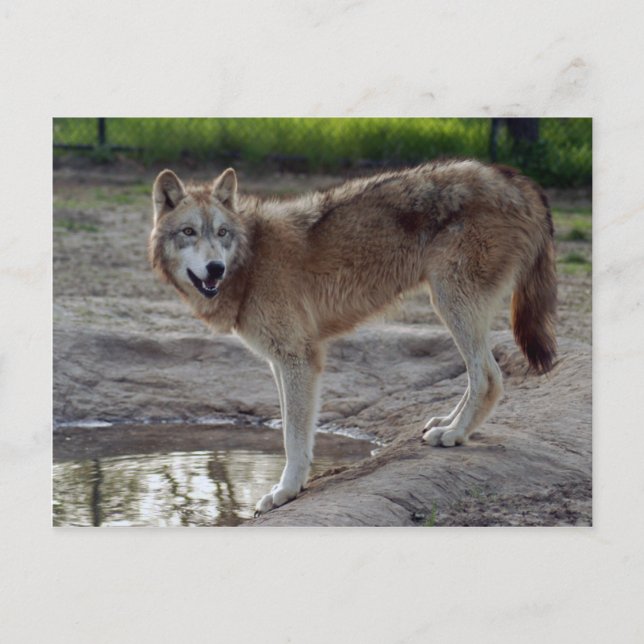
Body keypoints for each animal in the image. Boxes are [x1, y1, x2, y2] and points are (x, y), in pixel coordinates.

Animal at [149, 160, 557, 514]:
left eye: (222, 233)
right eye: (189, 232)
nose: (215, 268)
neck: (251, 260)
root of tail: (512, 179)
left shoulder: (299, 358)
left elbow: (293, 436)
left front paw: (285, 491)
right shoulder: (281, 361)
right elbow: (292, 428)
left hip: (450, 303)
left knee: (488, 378)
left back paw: (454, 435)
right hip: (451, 306)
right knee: (479, 377)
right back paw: (447, 423)